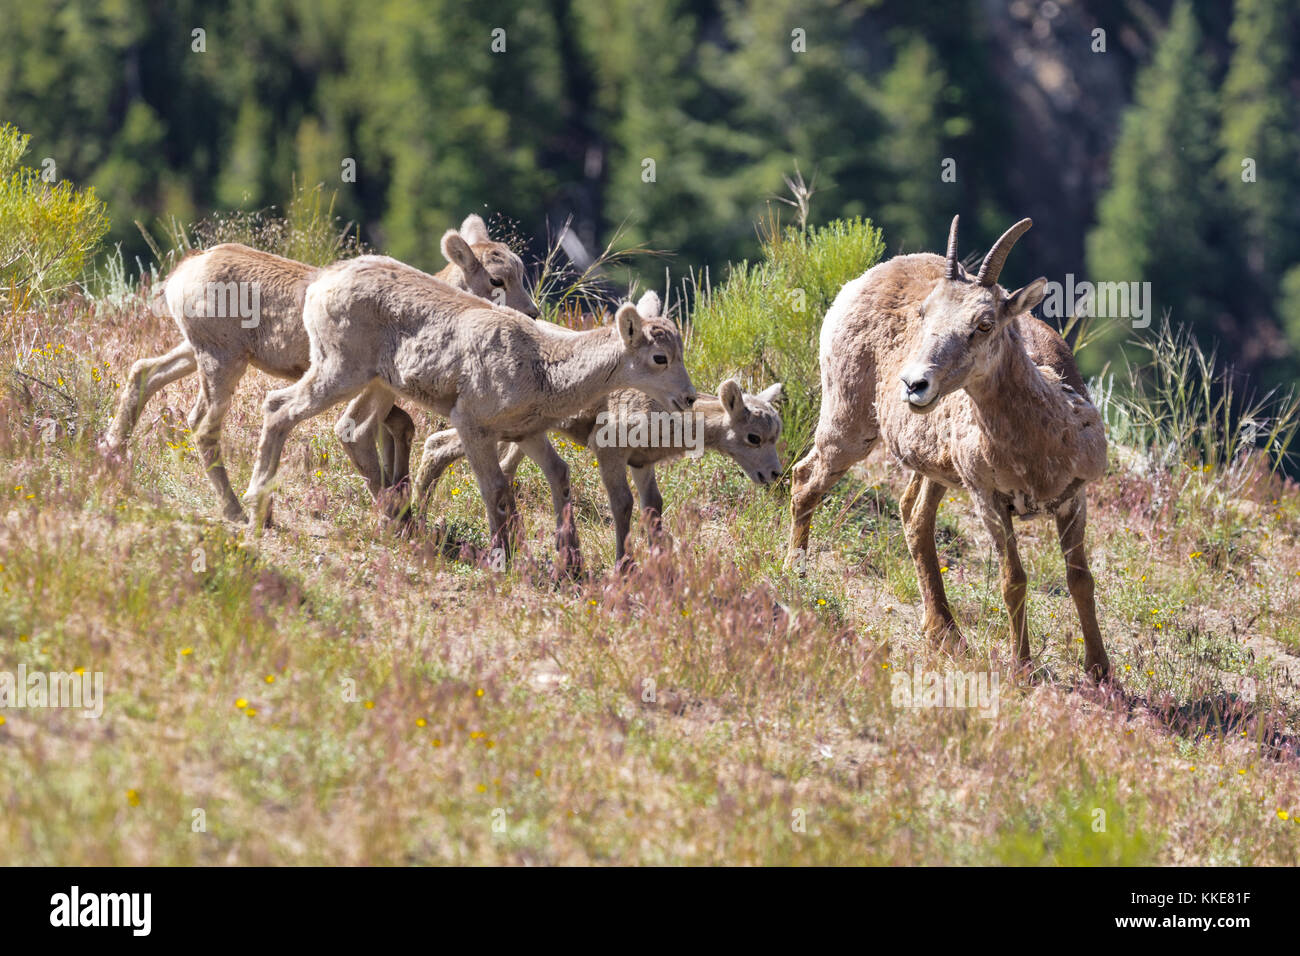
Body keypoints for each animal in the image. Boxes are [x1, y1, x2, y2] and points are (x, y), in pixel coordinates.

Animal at [98, 215, 530, 520]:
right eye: (497, 279)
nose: (534, 313)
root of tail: (181, 275)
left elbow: (401, 428)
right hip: (222, 362)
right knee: (203, 424)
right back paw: (239, 511)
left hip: (196, 350)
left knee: (144, 373)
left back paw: (111, 456)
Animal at [239, 257, 696, 567]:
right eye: (659, 358)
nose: (689, 398)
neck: (544, 366)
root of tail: (320, 285)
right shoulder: (472, 425)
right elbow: (494, 490)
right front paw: (503, 560)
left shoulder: (527, 433)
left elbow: (557, 478)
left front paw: (570, 564)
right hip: (339, 369)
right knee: (279, 407)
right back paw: (256, 507)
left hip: (377, 383)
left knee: (352, 430)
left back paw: (395, 520)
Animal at [413, 291, 780, 561]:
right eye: (753, 437)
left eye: (775, 436)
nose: (774, 474)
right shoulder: (609, 452)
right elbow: (623, 505)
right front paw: (624, 566)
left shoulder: (642, 463)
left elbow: (653, 508)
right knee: (440, 446)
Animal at [785, 217, 1112, 681]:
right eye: (924, 313)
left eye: (985, 323)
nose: (914, 384)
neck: (1039, 447)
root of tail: (858, 283)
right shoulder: (988, 499)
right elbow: (1013, 580)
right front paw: (1023, 668)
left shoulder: (1073, 498)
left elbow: (1080, 579)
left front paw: (1101, 671)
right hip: (847, 424)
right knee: (805, 479)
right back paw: (795, 575)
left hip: (933, 468)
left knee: (913, 516)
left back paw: (945, 634)